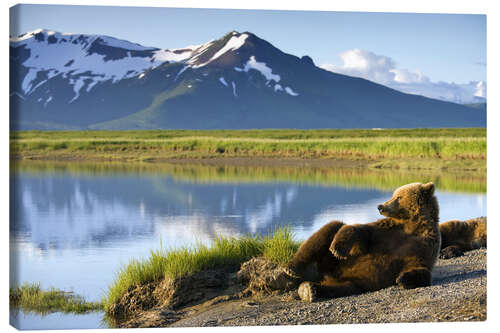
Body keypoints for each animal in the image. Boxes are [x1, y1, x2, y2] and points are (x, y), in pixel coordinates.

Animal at [286, 182, 442, 300]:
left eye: (398, 197)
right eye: (393, 195)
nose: (380, 206)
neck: (411, 225)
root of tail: (328, 275)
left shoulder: (424, 244)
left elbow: (419, 266)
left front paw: (403, 279)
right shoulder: (386, 231)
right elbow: (361, 231)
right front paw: (338, 248)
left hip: (354, 282)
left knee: (341, 288)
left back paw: (309, 289)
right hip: (332, 262)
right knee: (330, 228)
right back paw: (292, 269)